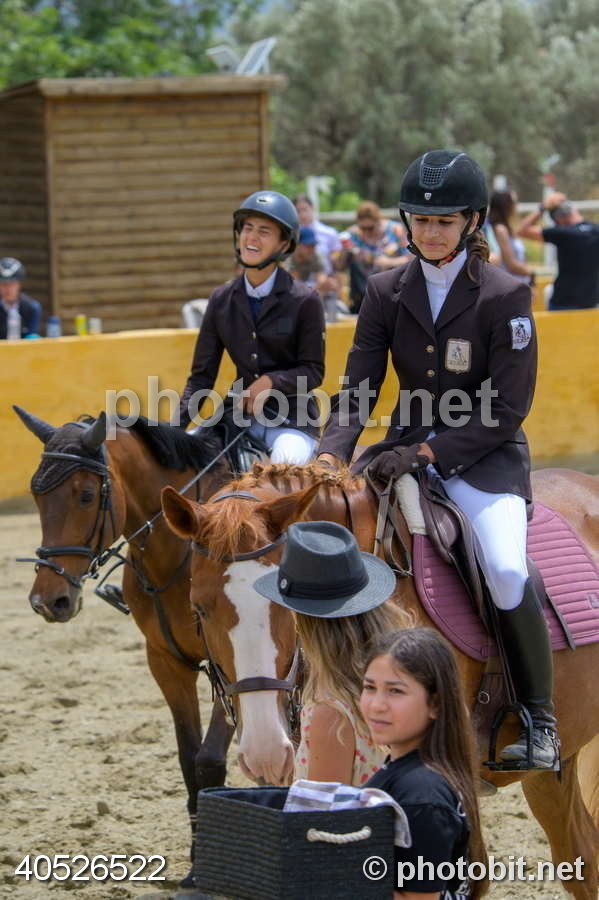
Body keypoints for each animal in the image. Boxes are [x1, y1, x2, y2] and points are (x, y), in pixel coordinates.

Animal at [15, 406, 239, 885]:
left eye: (85, 496)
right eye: (37, 497)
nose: (48, 602)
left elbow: (210, 758)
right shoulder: (165, 661)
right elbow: (188, 757)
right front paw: (196, 857)